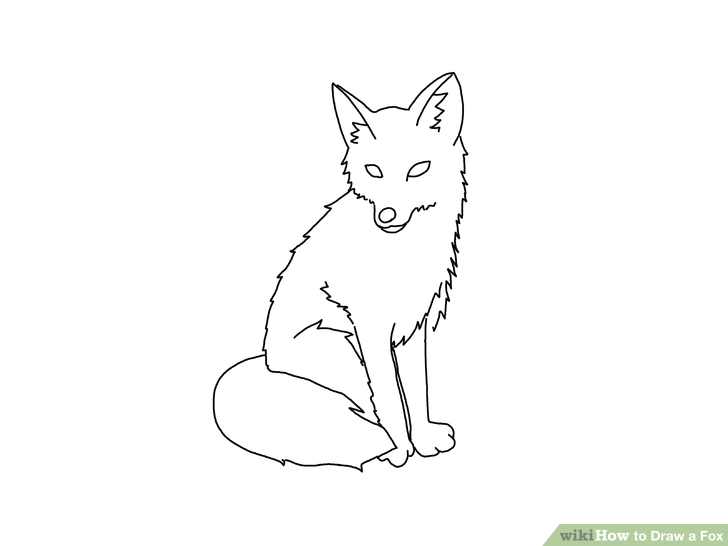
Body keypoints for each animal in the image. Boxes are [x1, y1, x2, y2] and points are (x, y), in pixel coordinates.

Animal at [213, 73, 467, 469]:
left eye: (418, 168)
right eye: (374, 171)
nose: (387, 216)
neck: (403, 252)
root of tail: (267, 361)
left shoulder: (413, 324)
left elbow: (417, 388)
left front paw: (424, 440)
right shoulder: (371, 328)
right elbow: (390, 397)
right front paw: (401, 448)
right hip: (343, 348)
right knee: (364, 404)